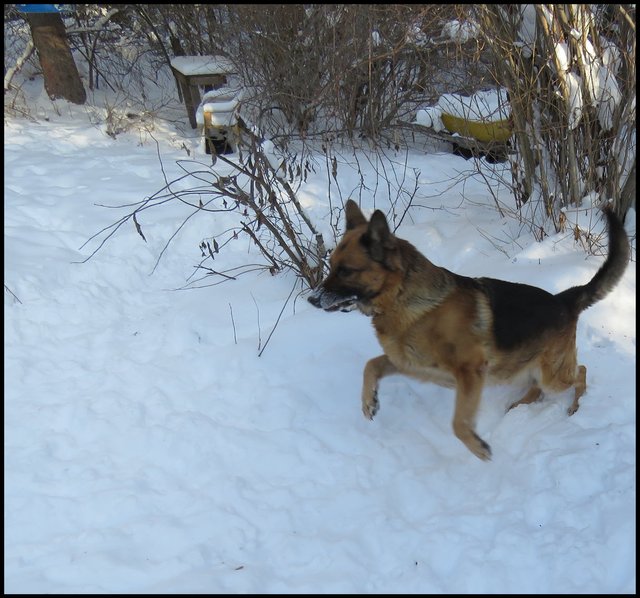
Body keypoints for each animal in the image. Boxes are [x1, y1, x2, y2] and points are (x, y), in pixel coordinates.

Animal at [310, 199, 632, 462]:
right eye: (331, 265)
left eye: (346, 271)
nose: (312, 299)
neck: (404, 299)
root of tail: (564, 298)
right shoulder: (408, 364)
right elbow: (371, 365)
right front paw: (369, 402)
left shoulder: (469, 372)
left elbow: (458, 423)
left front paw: (478, 447)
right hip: (520, 367)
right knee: (539, 385)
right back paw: (520, 405)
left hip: (551, 374)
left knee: (581, 372)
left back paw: (577, 406)